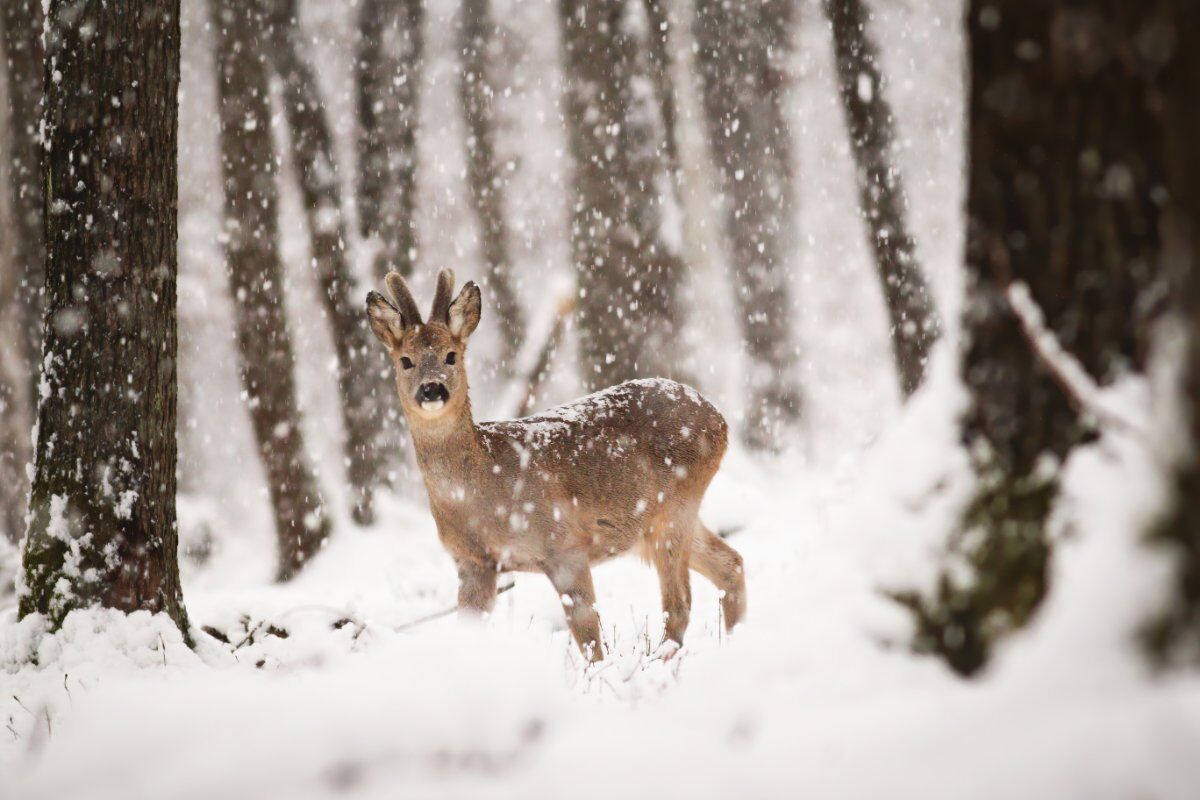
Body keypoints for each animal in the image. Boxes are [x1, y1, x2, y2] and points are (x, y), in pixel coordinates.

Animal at [364, 272, 744, 662]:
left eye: (451, 355)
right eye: (405, 360)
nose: (431, 389)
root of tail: (719, 418)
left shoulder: (564, 545)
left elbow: (588, 634)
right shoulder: (473, 562)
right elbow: (466, 630)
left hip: (673, 509)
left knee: (680, 602)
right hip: (663, 521)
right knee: (730, 563)